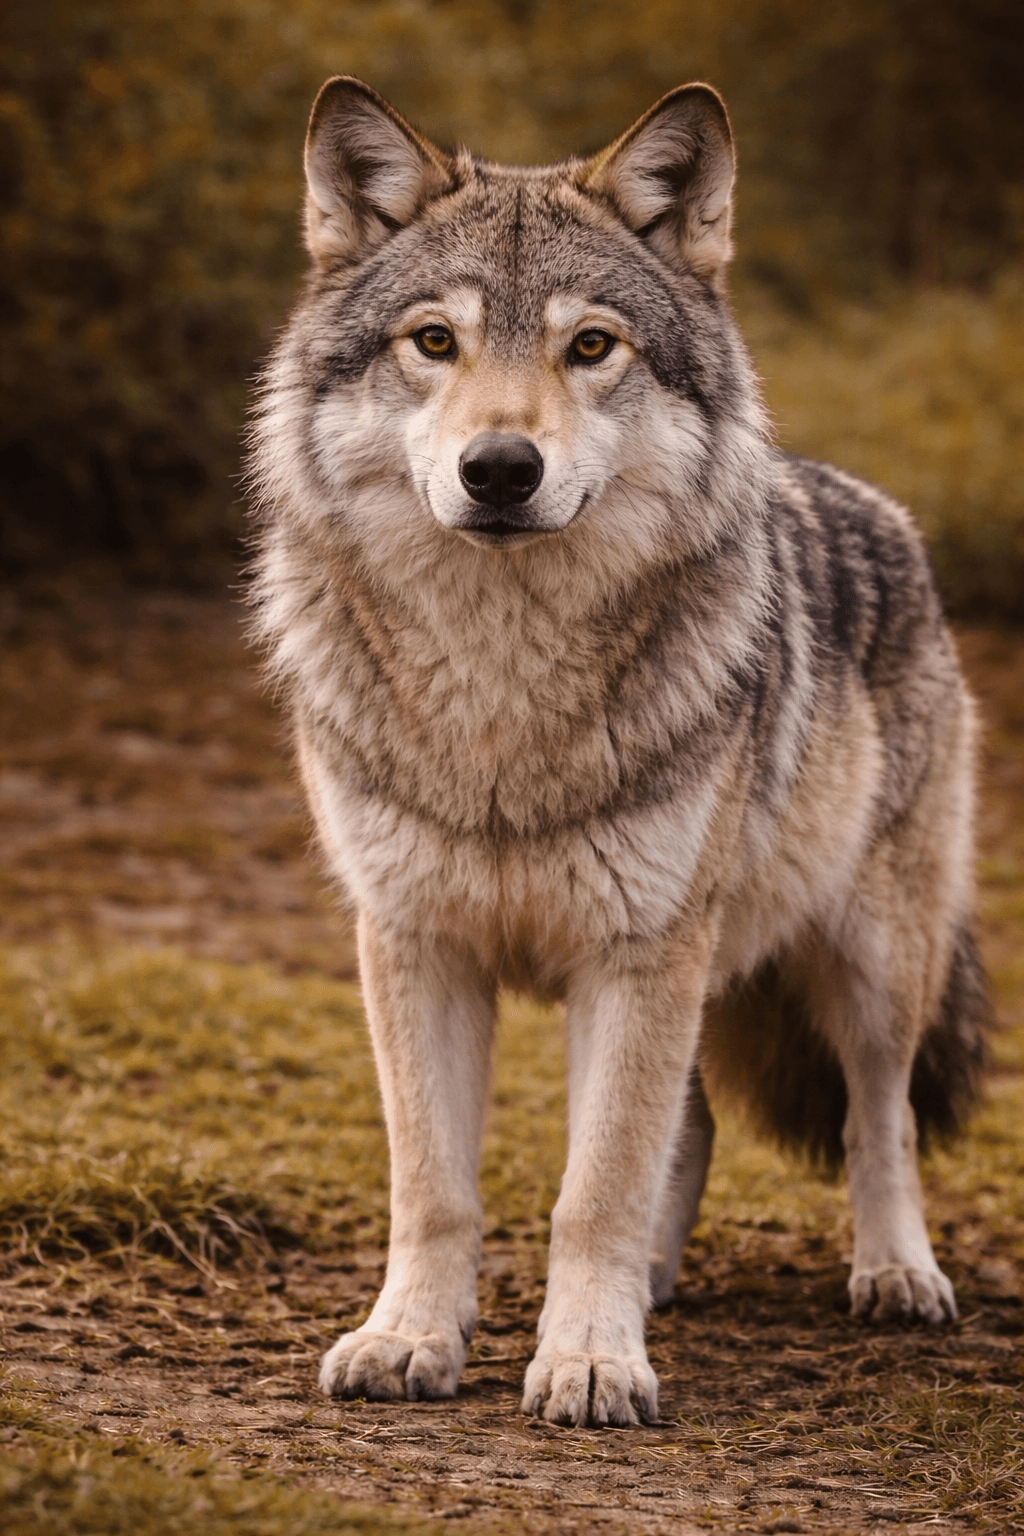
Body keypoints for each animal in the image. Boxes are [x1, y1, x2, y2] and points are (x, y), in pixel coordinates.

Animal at [247, 76, 990, 1428]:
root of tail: (871, 503)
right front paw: (412, 1339)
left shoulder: (641, 953)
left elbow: (593, 1186)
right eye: (432, 342)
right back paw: (650, 1280)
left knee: (881, 1120)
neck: (501, 694)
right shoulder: (414, 945)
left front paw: (589, 1360)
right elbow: (438, 1187)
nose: (499, 468)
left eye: (591, 347)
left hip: (868, 962)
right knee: (688, 1126)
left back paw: (895, 1274)